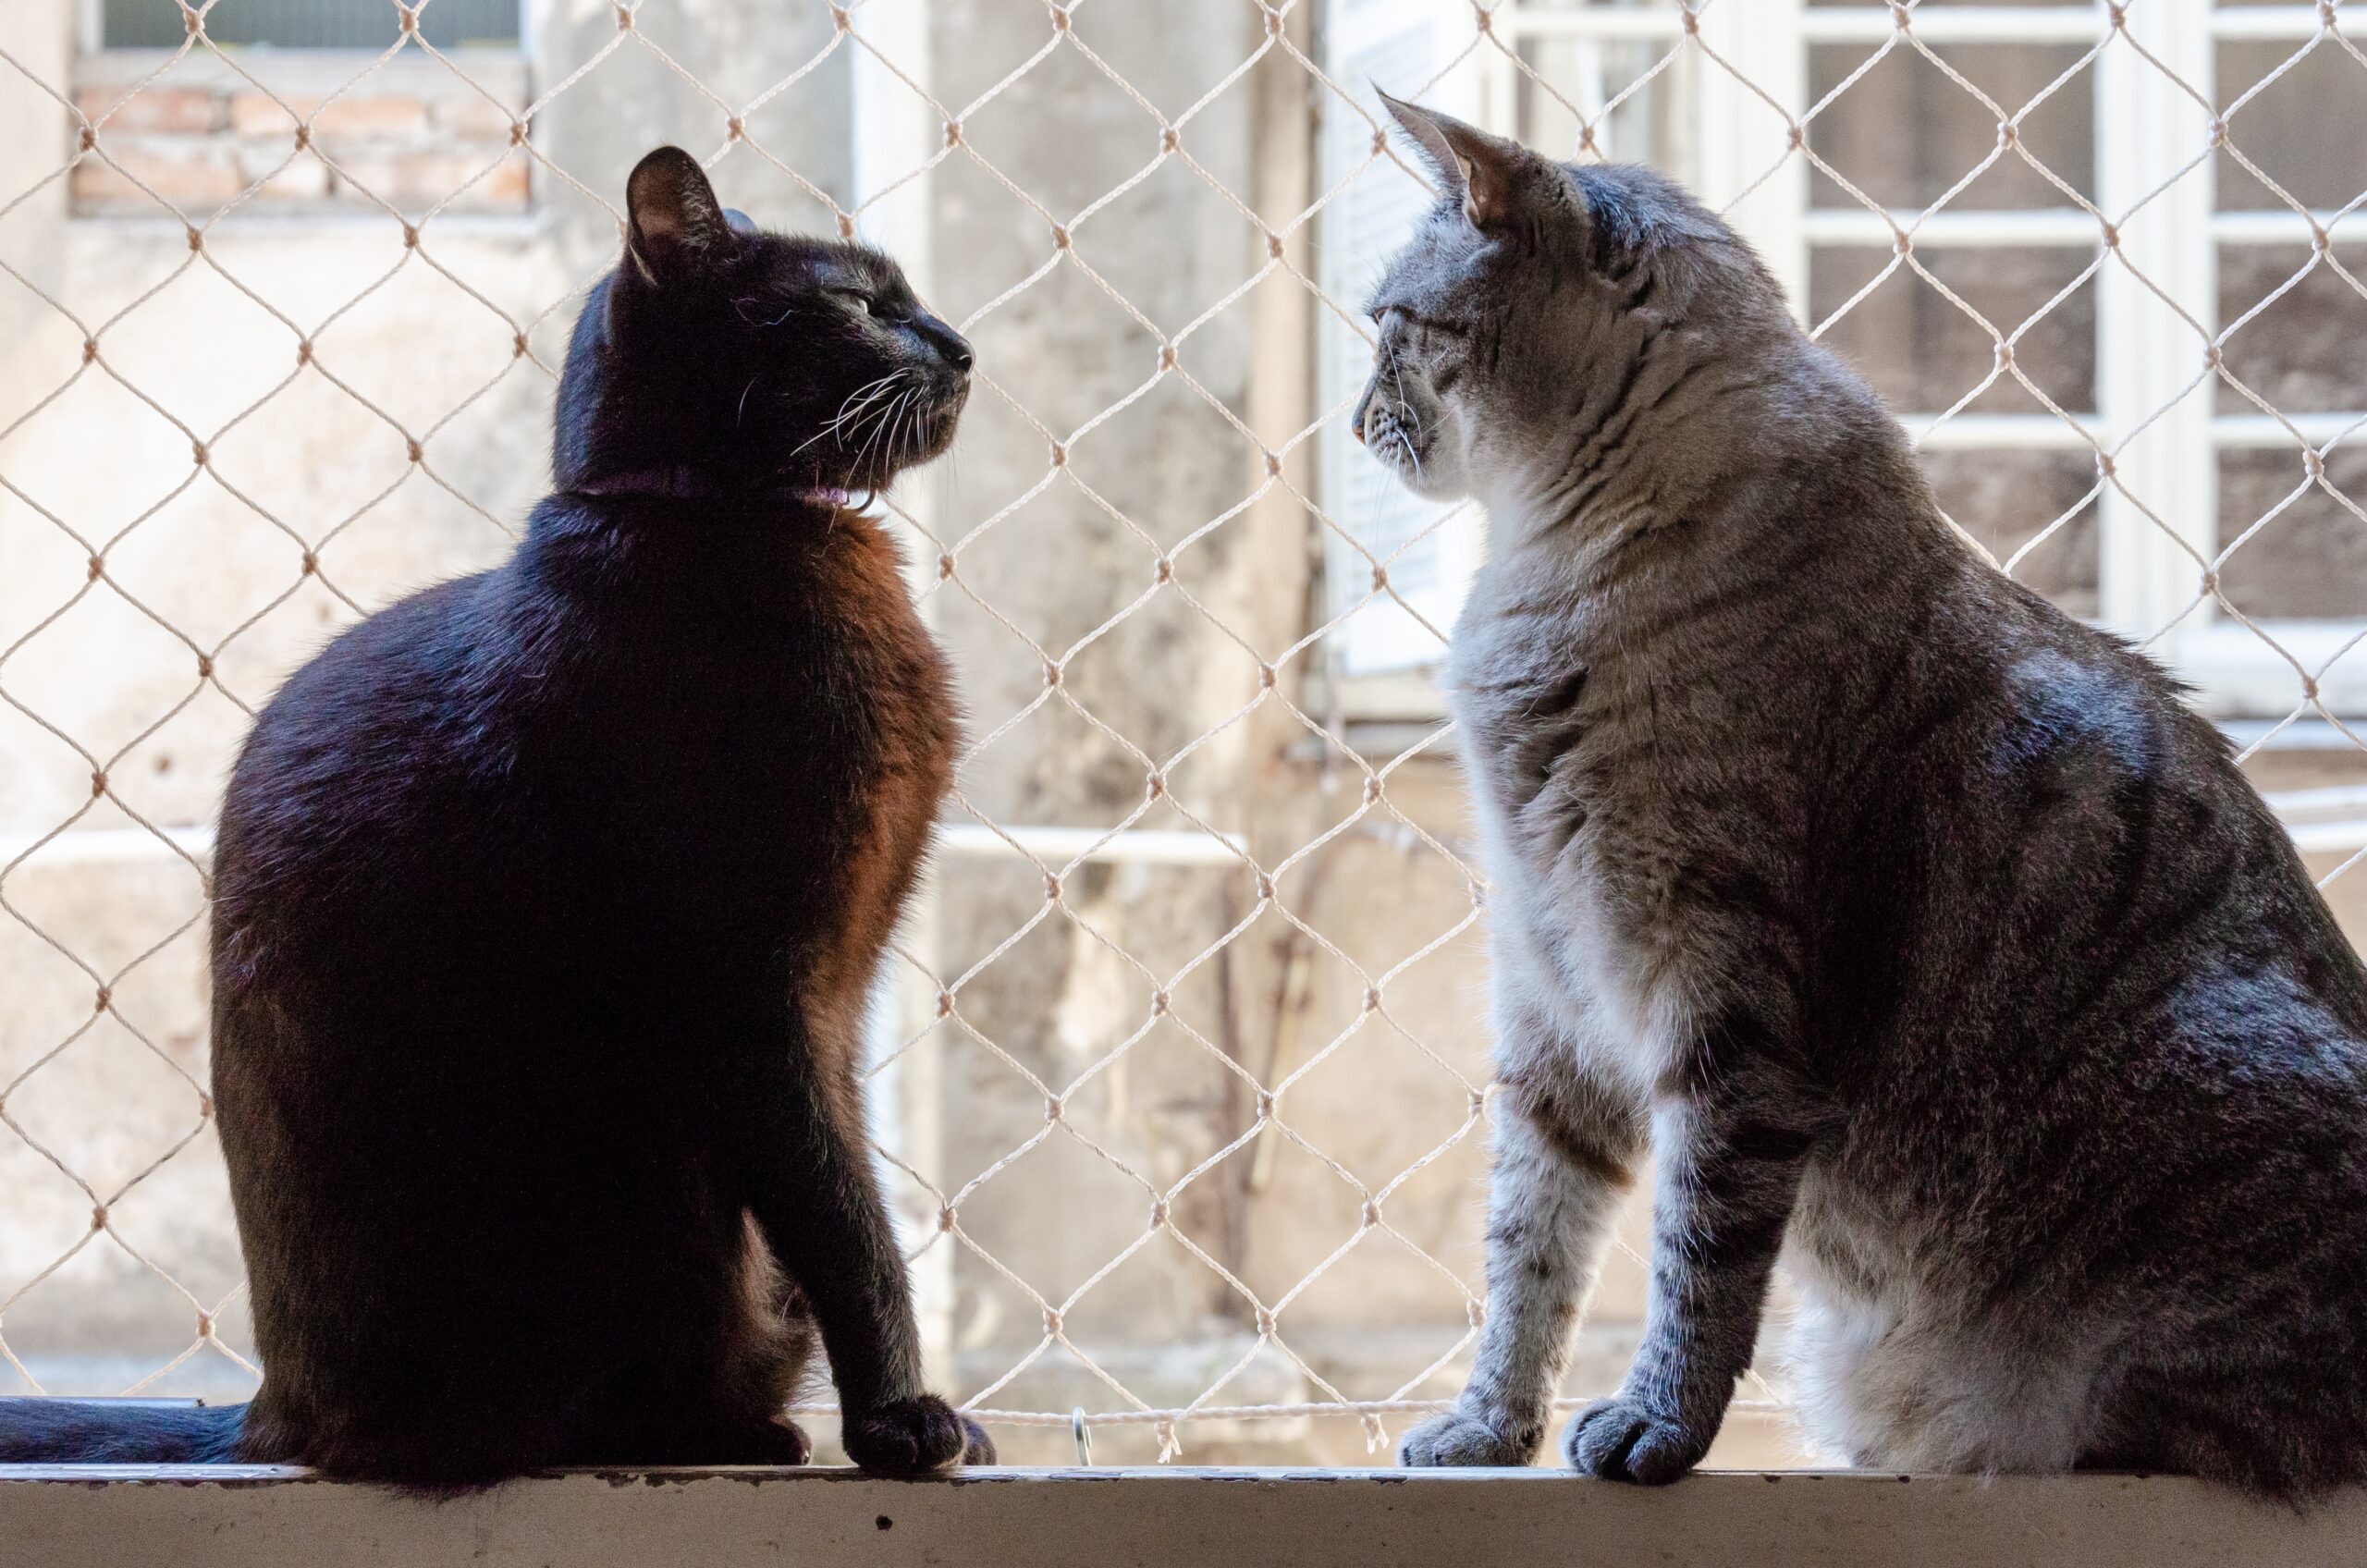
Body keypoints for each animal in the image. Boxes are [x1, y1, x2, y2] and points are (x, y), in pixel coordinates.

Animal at [0, 150, 984, 1497]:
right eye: (860, 301)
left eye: (907, 298)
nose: (961, 344)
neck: (711, 523)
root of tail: (271, 1415)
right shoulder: (762, 998)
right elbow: (848, 1220)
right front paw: (903, 1420)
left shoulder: (842, 995)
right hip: (653, 1157)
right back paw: (740, 1430)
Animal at [1382, 98, 2367, 1497]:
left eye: (1387, 325)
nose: (1358, 418)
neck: (1545, 565)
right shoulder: (1548, 986)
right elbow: (1530, 1251)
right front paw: (1485, 1433)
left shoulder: (1725, 999)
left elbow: (1699, 1259)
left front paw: (1655, 1430)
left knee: (2209, 1434)